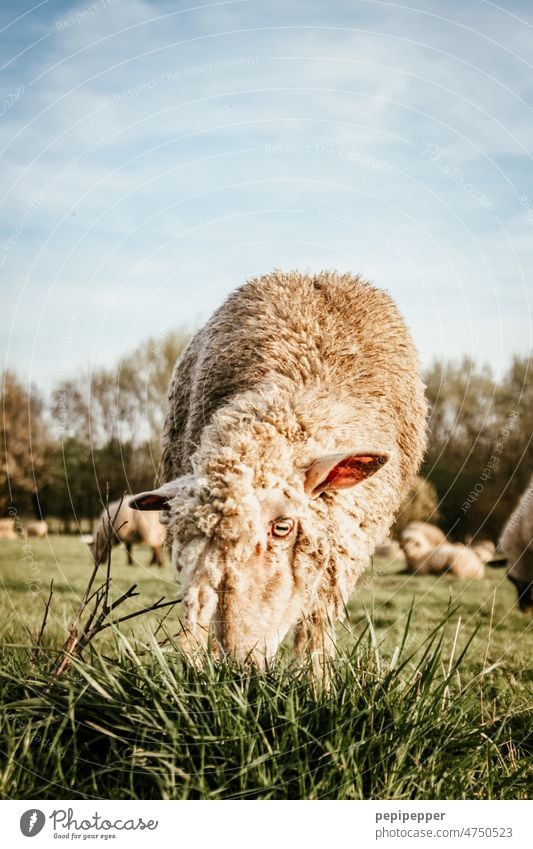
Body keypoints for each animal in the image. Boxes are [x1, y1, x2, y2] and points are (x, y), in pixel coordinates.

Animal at [130, 272, 428, 668]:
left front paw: (315, 675)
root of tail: (312, 274)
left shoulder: (340, 553)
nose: (241, 663)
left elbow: (317, 621)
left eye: (282, 527)